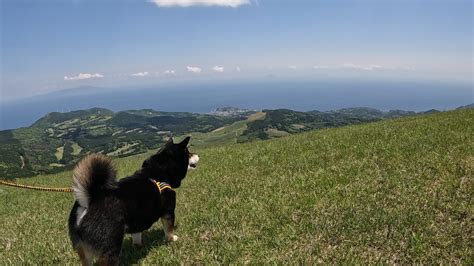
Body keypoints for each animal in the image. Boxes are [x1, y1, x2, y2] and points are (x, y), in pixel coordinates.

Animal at [68, 137, 198, 266]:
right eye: (188, 153)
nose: (197, 154)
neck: (156, 172)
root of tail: (90, 199)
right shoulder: (168, 212)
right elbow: (168, 229)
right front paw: (172, 239)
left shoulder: (137, 220)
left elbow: (137, 236)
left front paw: (138, 247)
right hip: (110, 245)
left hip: (83, 249)